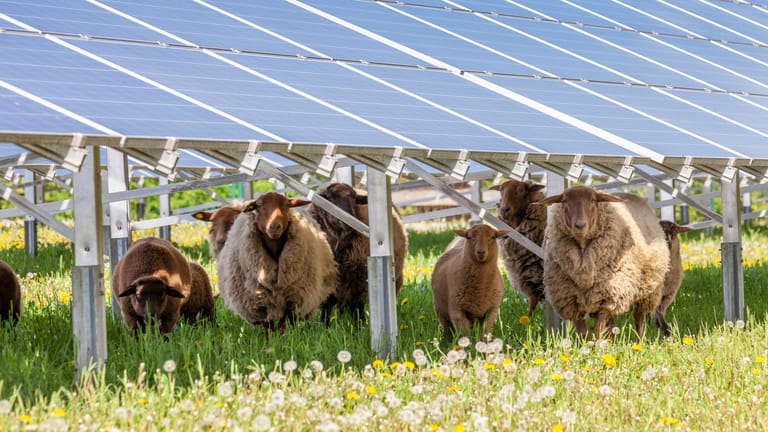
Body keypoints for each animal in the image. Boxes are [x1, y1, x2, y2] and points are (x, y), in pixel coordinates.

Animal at [216, 192, 336, 334]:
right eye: (259, 205)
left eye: (286, 205)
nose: (274, 226)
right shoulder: (259, 301)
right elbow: (267, 326)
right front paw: (270, 339)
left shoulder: (290, 297)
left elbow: (282, 324)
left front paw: (281, 337)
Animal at [308, 181, 412, 320]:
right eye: (330, 198)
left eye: (354, 199)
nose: (347, 221)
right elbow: (327, 305)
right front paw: (325, 324)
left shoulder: (359, 278)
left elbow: (357, 305)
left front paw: (359, 323)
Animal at [488, 179, 548, 318]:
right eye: (501, 190)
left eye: (521, 190)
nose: (504, 209)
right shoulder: (530, 279)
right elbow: (532, 305)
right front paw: (529, 322)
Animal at [536, 187, 668, 340]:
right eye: (564, 201)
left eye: (593, 200)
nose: (580, 225)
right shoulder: (571, 301)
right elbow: (583, 333)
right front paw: (587, 345)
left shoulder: (610, 297)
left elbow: (597, 330)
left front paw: (597, 344)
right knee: (612, 324)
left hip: (647, 290)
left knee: (638, 317)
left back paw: (639, 340)